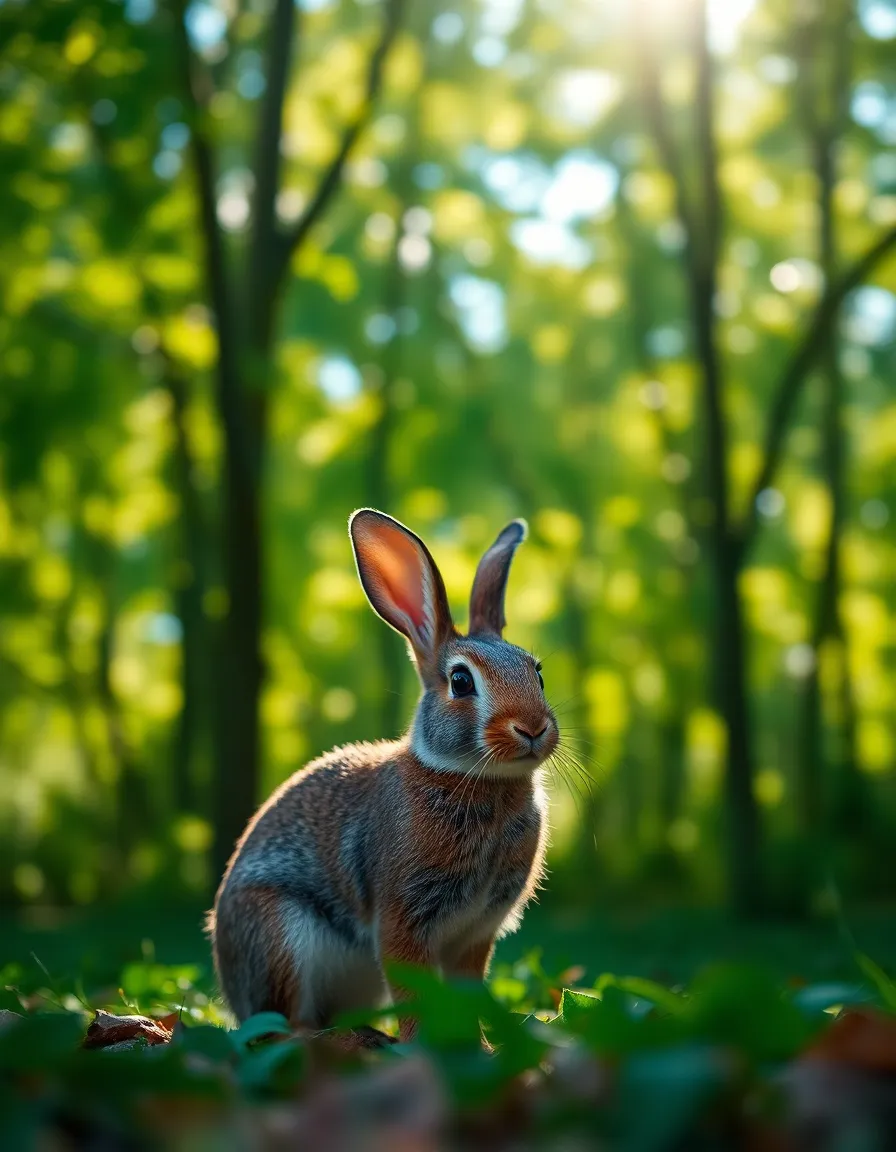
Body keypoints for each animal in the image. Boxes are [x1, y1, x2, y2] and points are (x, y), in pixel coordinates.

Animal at [207, 509, 559, 1045]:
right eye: (460, 681)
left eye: (536, 672)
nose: (534, 728)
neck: (474, 779)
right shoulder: (402, 920)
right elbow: (414, 990)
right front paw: (425, 1046)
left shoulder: (476, 933)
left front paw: (479, 1047)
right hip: (280, 933)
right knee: (287, 1024)